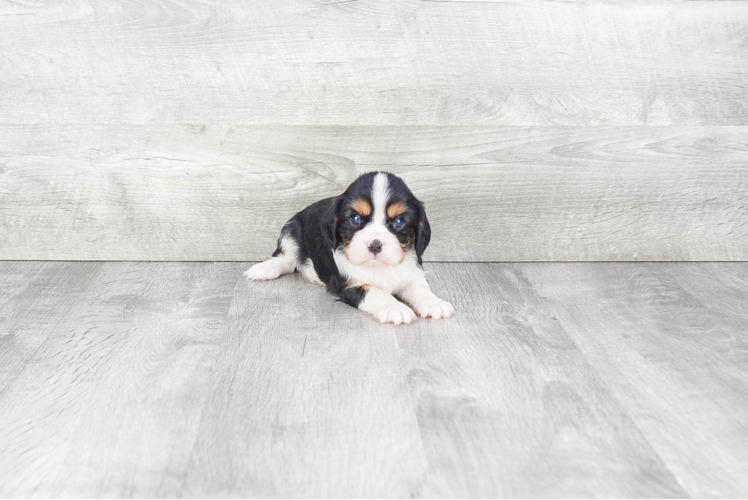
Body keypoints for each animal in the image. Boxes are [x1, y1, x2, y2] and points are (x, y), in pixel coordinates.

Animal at [245, 172, 456, 326]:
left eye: (398, 222)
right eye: (355, 219)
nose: (375, 244)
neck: (379, 268)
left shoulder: (410, 273)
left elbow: (420, 288)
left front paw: (434, 302)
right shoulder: (350, 284)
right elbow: (376, 292)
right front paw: (394, 308)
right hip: (291, 230)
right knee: (287, 260)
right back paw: (264, 269)